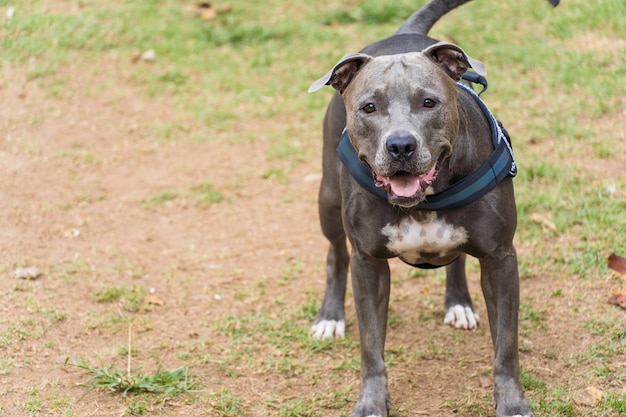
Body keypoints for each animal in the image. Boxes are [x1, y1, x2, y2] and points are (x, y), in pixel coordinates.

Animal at [308, 0, 556, 416]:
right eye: (369, 107)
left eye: (429, 102)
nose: (401, 145)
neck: (426, 200)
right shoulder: (368, 264)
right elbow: (371, 347)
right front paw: (371, 401)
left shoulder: (501, 259)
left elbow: (506, 345)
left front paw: (512, 402)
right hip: (327, 199)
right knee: (334, 253)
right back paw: (330, 316)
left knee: (456, 258)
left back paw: (459, 303)